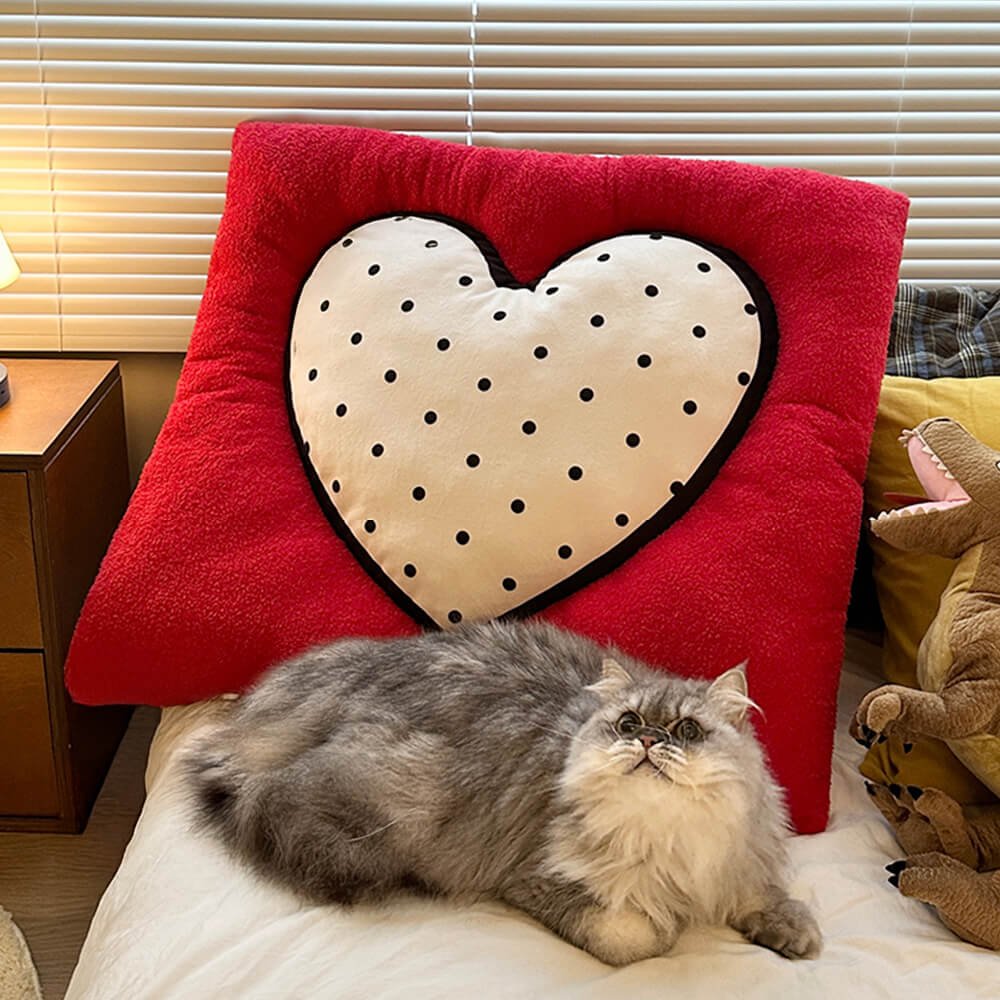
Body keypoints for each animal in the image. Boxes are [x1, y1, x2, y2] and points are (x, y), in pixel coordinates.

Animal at [186, 620, 820, 964]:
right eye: (628, 723)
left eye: (687, 731)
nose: (648, 743)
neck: (668, 839)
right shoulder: (531, 878)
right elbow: (634, 936)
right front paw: (665, 927)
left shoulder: (736, 863)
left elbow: (775, 901)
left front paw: (793, 934)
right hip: (403, 798)